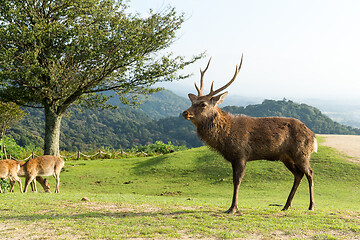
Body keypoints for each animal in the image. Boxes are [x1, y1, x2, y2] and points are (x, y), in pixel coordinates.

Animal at [183, 56, 318, 214]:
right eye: (192, 101)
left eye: (203, 104)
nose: (185, 113)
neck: (226, 137)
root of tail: (313, 137)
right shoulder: (233, 158)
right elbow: (234, 179)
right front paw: (231, 207)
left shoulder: (242, 154)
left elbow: (237, 180)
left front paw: (233, 208)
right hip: (286, 157)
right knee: (298, 174)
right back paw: (286, 205)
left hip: (301, 152)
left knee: (310, 172)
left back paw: (311, 206)